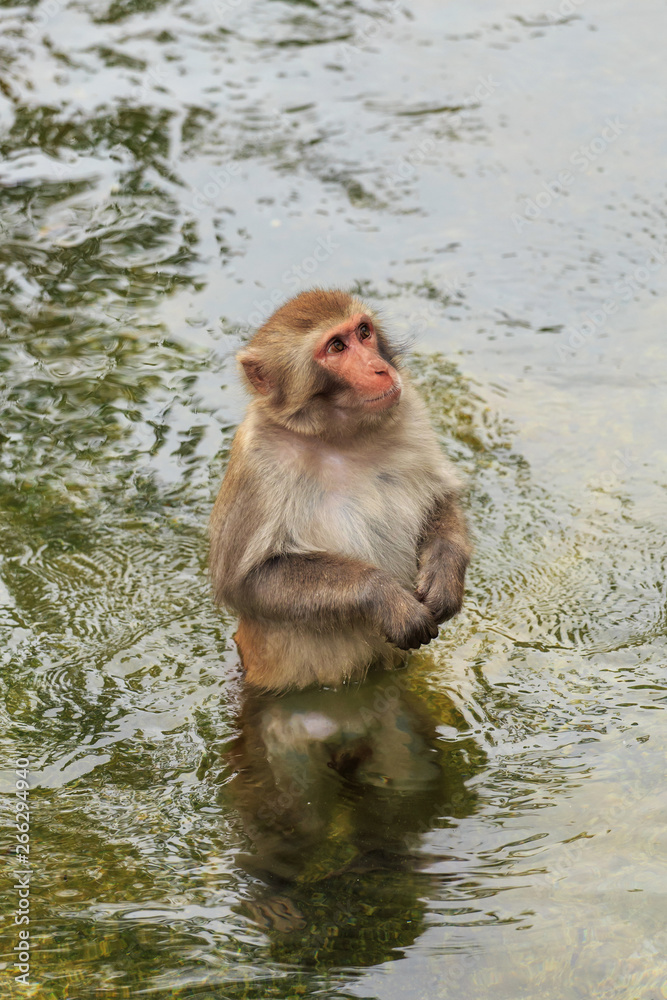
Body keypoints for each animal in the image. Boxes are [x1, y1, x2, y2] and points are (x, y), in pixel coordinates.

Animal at [209, 288, 471, 691]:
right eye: (336, 347)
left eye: (363, 332)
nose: (380, 369)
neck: (341, 438)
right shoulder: (259, 459)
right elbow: (249, 581)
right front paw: (383, 594)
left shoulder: (410, 409)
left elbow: (441, 500)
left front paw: (443, 573)